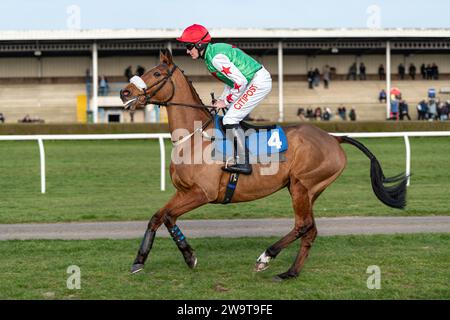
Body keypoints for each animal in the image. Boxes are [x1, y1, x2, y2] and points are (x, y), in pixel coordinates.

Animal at [119, 48, 408, 282]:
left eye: (156, 73)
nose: (124, 92)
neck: (195, 136)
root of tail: (333, 137)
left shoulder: (202, 193)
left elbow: (168, 217)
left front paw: (189, 256)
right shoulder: (183, 191)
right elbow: (157, 217)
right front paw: (139, 261)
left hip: (302, 186)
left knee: (302, 226)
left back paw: (265, 258)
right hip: (308, 191)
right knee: (310, 230)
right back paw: (290, 273)